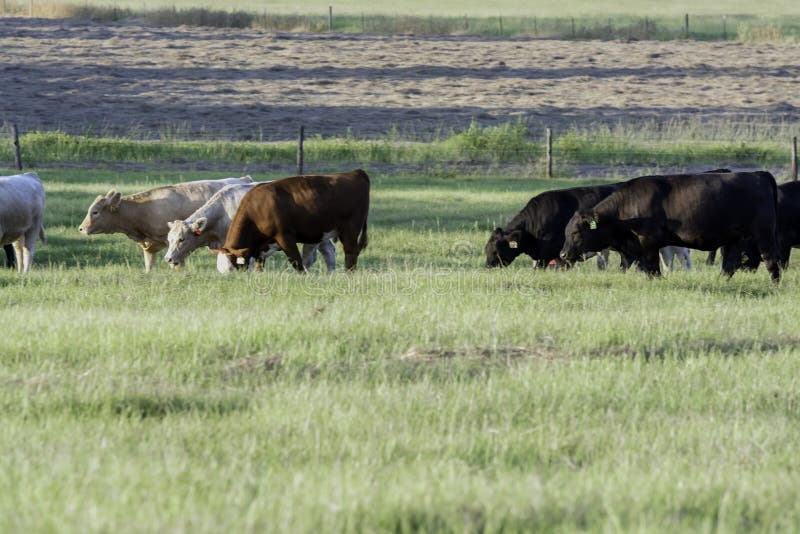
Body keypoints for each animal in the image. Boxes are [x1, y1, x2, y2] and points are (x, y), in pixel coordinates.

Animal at [78, 178, 252, 272]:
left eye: (95, 212)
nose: (81, 228)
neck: (143, 209)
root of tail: (245, 179)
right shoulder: (149, 247)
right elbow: (148, 266)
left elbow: (176, 264)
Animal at [219, 171, 368, 272]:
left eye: (233, 262)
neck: (255, 210)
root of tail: (356, 172)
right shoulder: (261, 248)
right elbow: (259, 265)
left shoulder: (285, 237)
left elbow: (296, 261)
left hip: (350, 230)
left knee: (350, 255)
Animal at [560, 172, 780, 282]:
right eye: (566, 232)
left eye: (576, 232)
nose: (563, 254)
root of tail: (757, 174)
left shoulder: (649, 244)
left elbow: (653, 269)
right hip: (734, 238)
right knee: (729, 265)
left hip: (764, 233)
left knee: (770, 259)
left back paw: (775, 284)